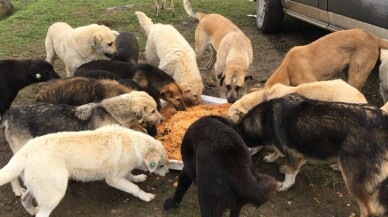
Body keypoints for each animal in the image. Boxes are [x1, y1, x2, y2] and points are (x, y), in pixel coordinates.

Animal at [0, 90, 161, 196]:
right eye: (153, 111)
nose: (162, 120)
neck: (112, 112)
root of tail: (10, 113)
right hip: (22, 149)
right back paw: (17, 189)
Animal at [0, 124, 168, 216]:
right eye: (161, 165)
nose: (167, 173)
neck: (136, 145)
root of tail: (26, 149)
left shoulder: (121, 173)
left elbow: (131, 176)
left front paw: (138, 177)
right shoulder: (113, 180)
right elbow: (134, 188)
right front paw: (146, 196)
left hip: (41, 187)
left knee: (25, 199)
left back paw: (32, 210)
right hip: (55, 193)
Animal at [235, 93, 388, 217]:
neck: (264, 118)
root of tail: (382, 124)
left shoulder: (294, 155)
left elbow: (289, 175)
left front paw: (283, 185)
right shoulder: (298, 155)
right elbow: (280, 155)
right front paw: (273, 158)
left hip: (353, 179)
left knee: (368, 210)